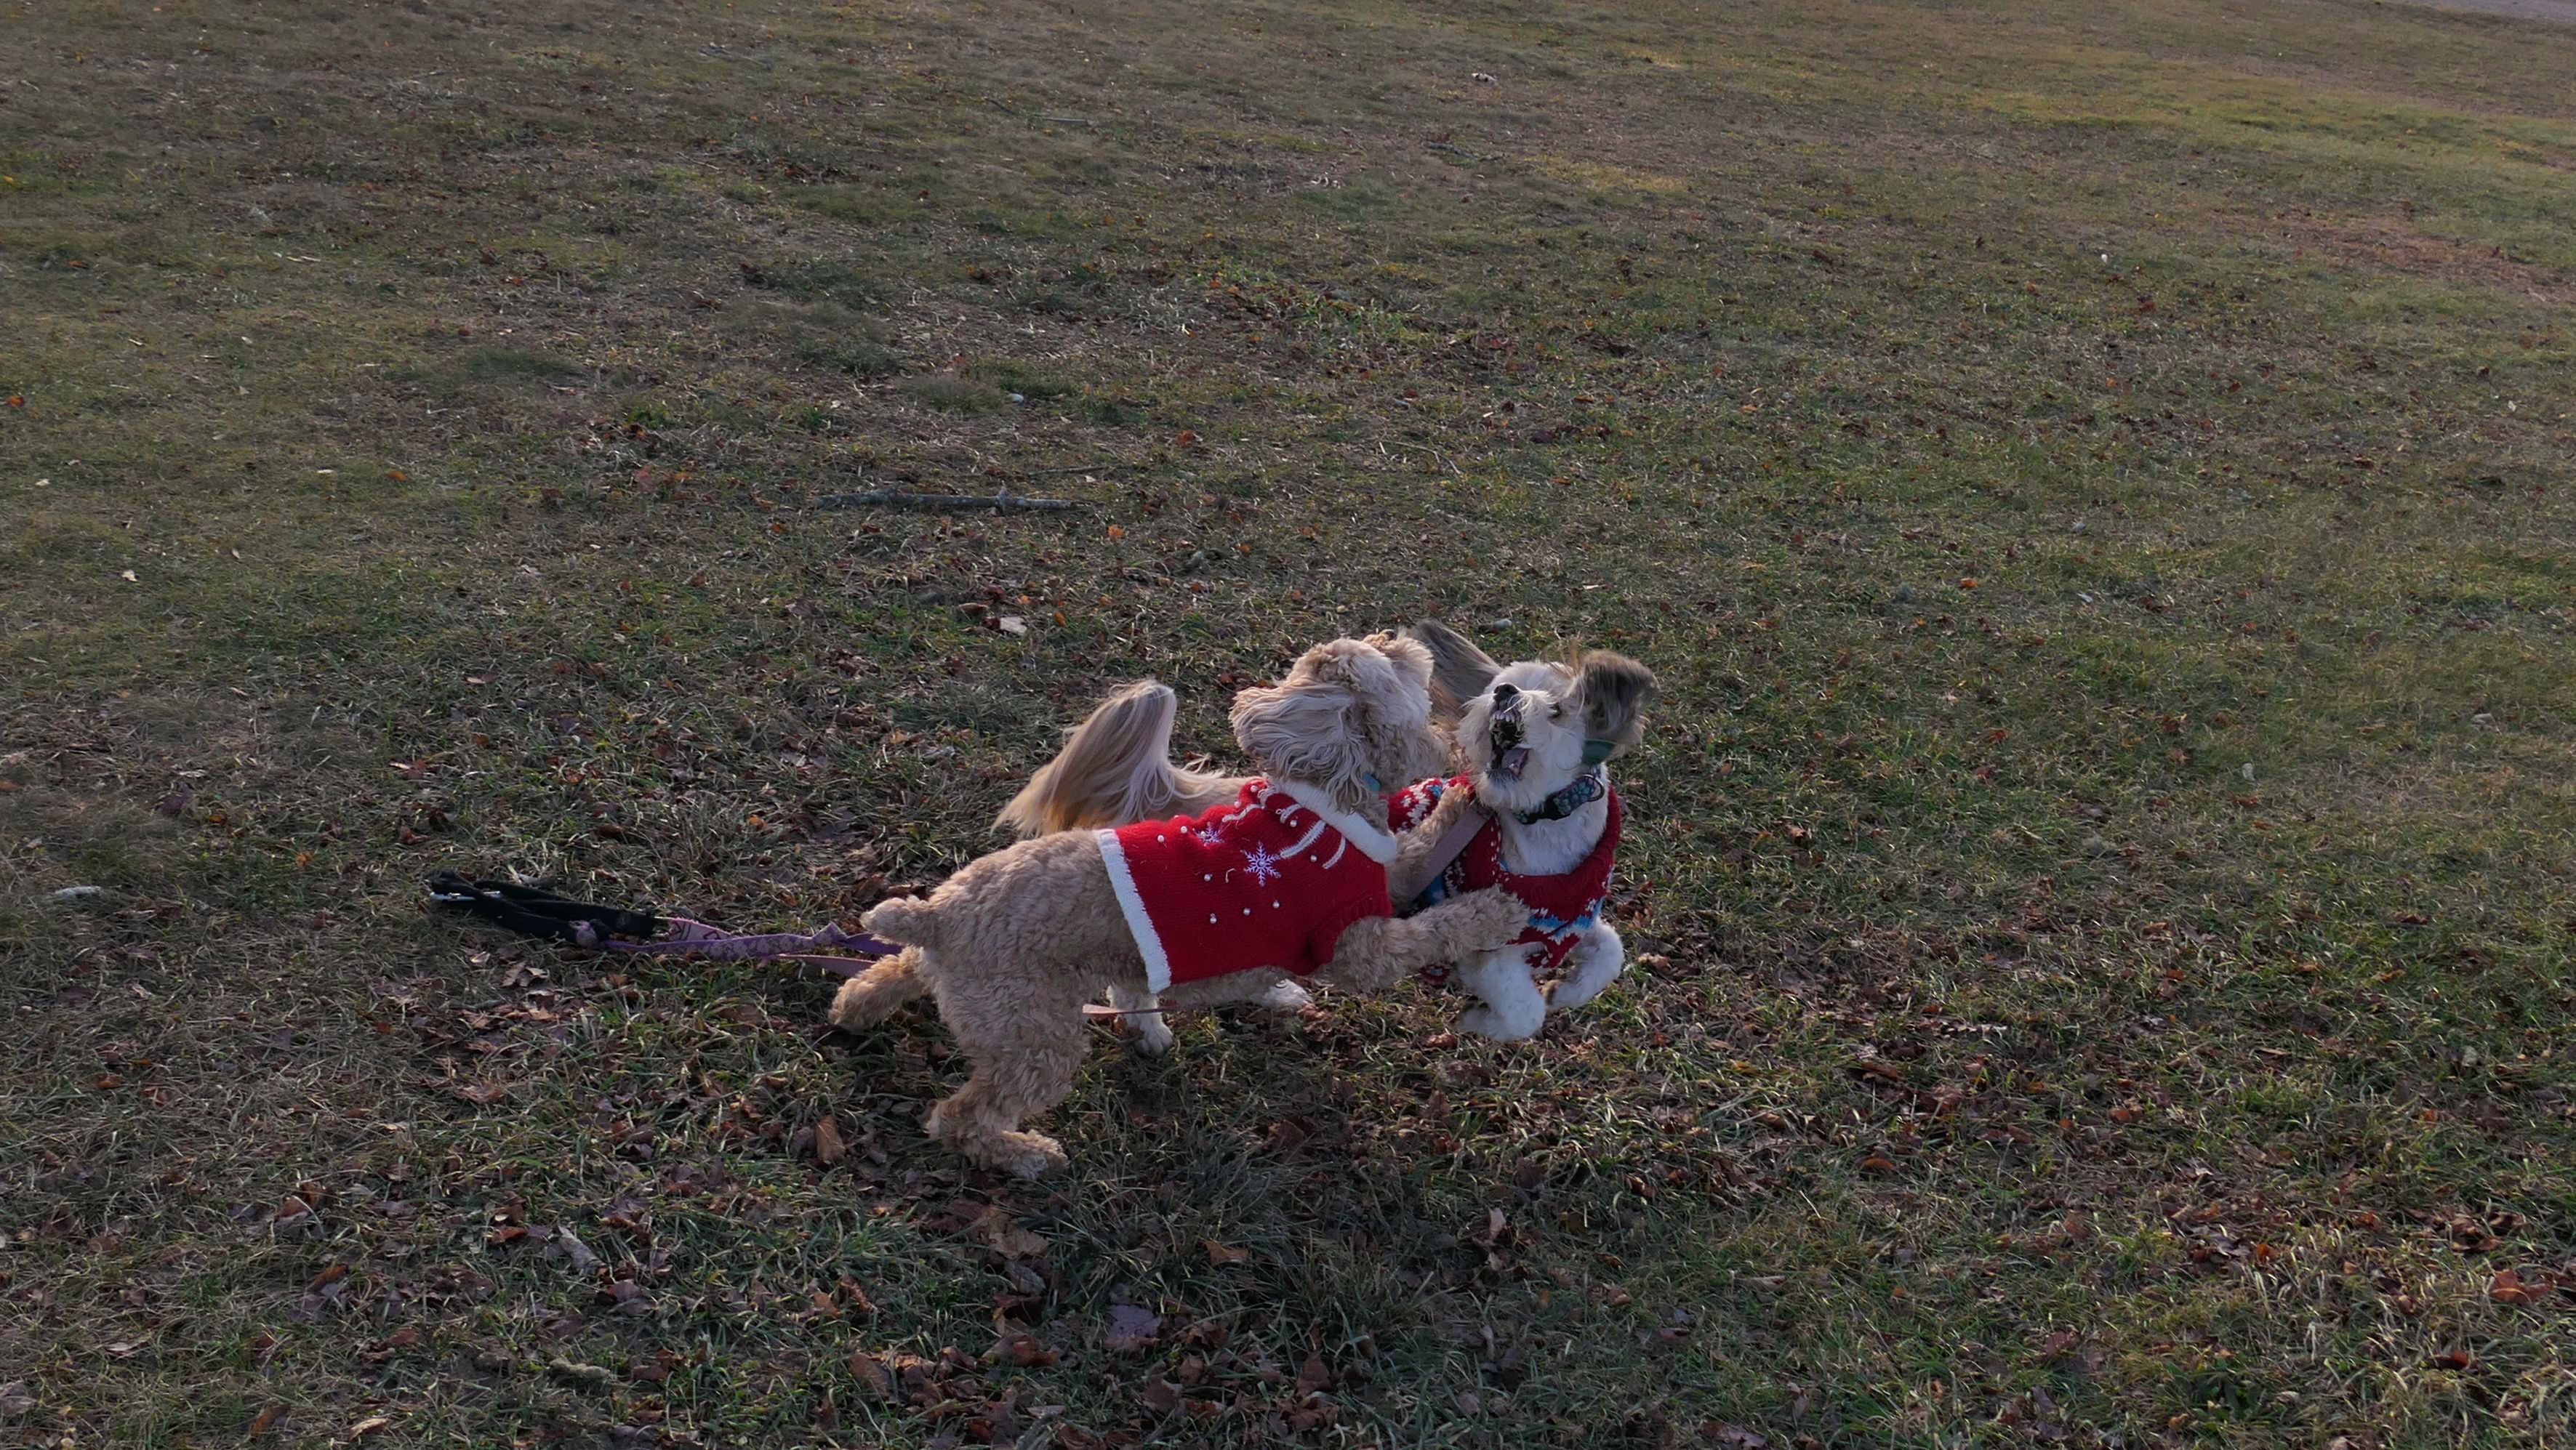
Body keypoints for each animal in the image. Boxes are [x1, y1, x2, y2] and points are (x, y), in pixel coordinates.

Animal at [831, 635, 1529, 1177]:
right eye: (1386, 663)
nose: (1397, 636)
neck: (1324, 804)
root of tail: (941, 918)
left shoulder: (1388, 867)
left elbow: (1420, 845)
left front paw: (1463, 799)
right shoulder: (1360, 945)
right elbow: (1431, 928)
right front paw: (1495, 909)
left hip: (971, 983)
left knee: (890, 970)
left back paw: (853, 1009)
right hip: (1035, 1037)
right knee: (962, 1117)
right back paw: (1025, 1153)